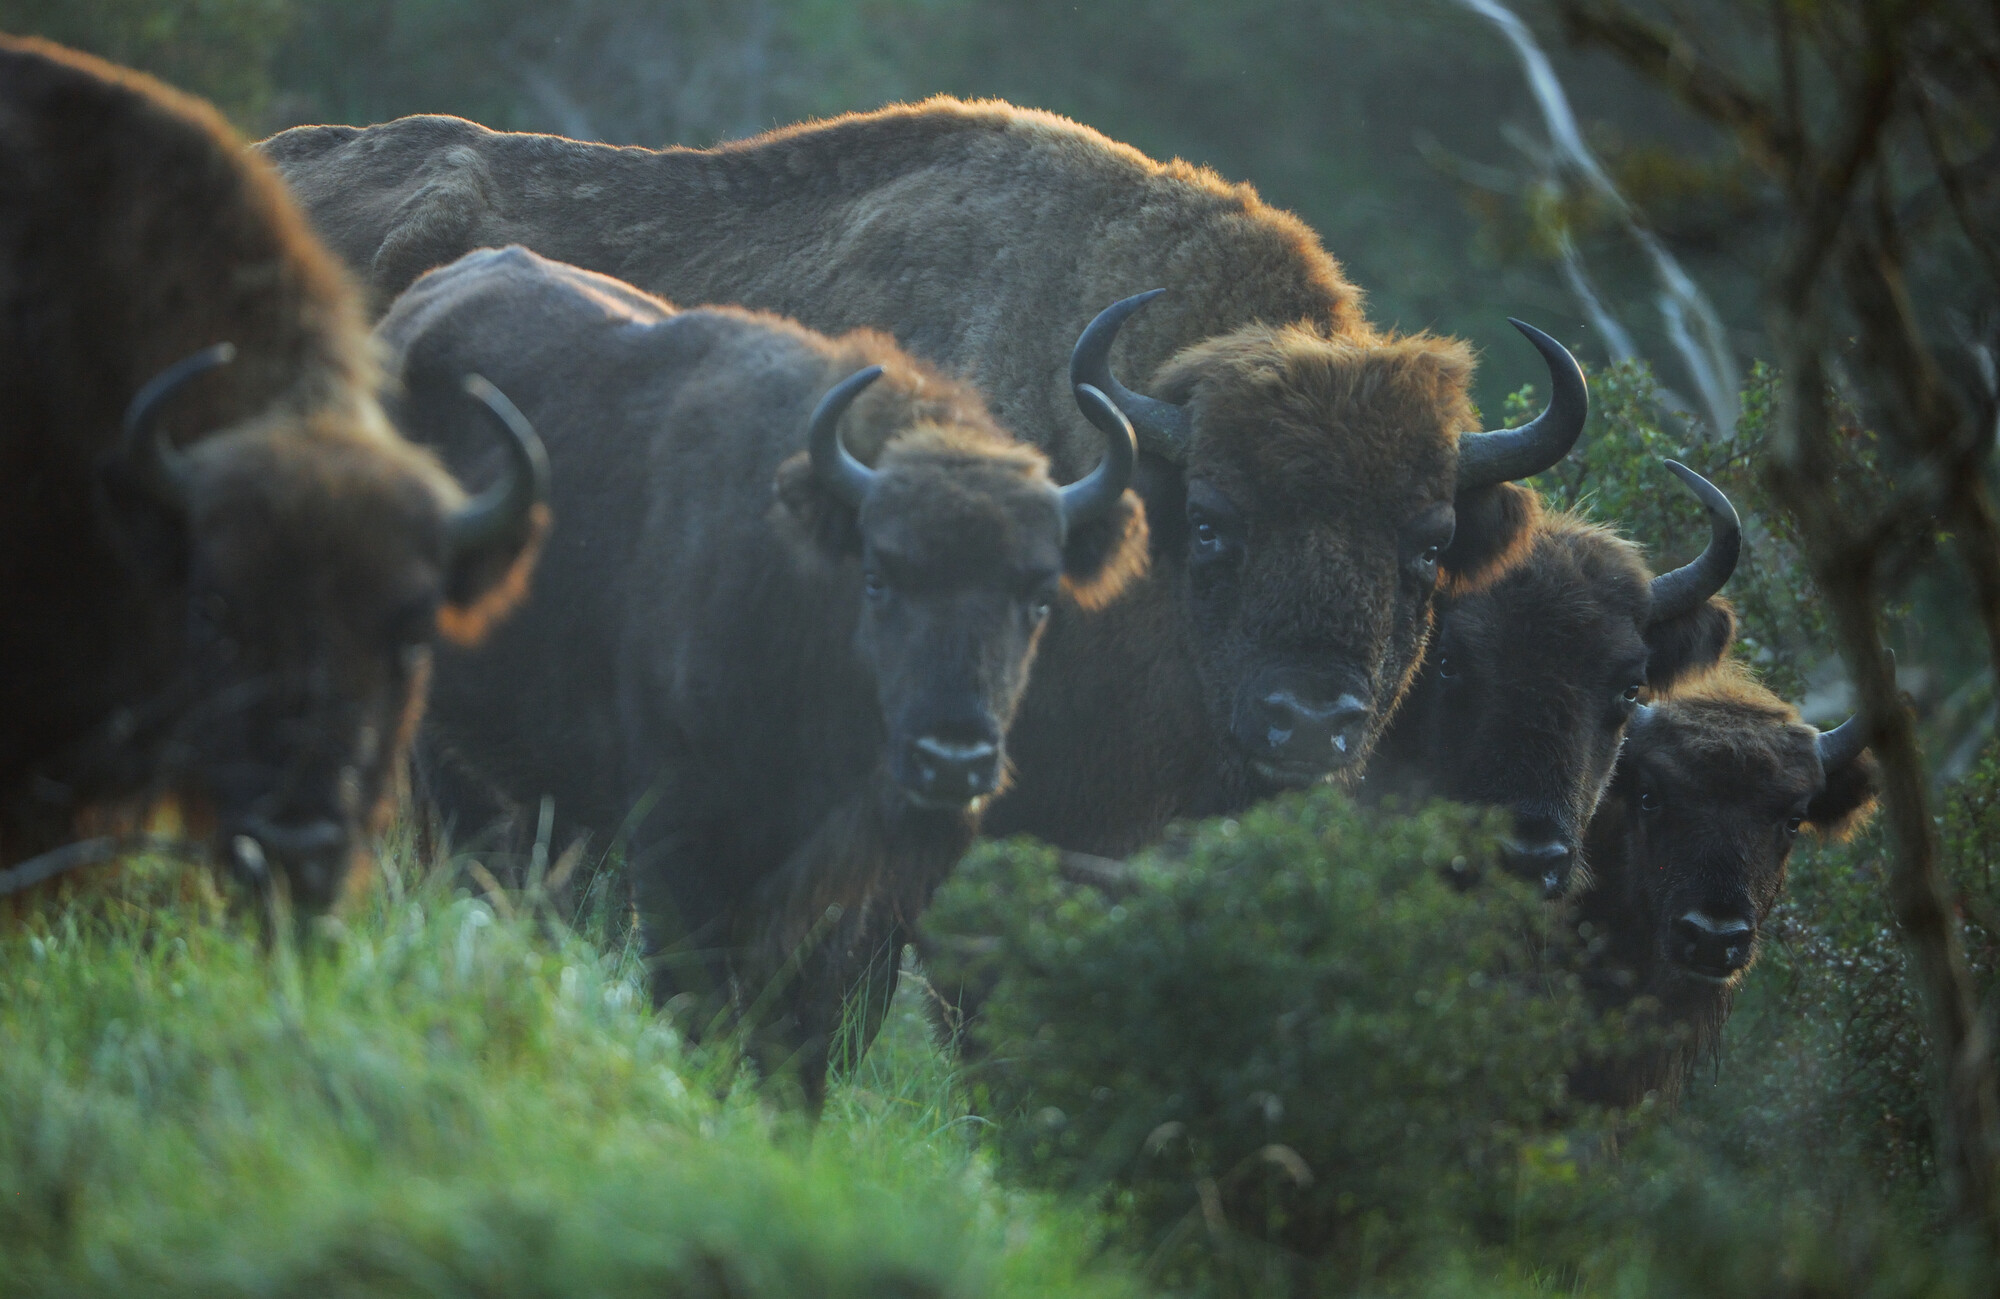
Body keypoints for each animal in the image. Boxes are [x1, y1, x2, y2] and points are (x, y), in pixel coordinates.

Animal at [375, 246, 1146, 1098]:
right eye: (879, 576)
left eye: (1039, 595)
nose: (953, 759)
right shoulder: (680, 846)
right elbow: (701, 1006)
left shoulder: (837, 889)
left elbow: (804, 1030)